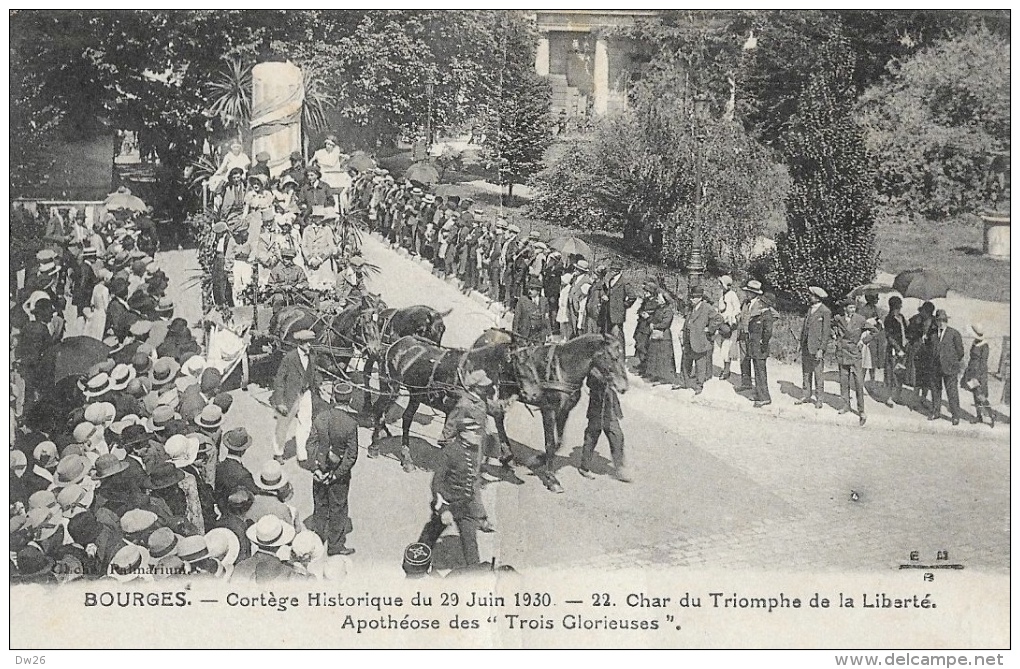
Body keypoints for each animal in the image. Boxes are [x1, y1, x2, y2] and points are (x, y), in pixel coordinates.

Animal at [373, 332, 518, 471]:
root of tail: (396, 343)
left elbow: (496, 415)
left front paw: (506, 455)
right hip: (391, 387)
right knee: (379, 408)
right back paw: (374, 446)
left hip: (415, 395)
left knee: (405, 417)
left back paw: (404, 455)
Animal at [477, 328, 628, 491]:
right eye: (613, 357)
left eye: (622, 356)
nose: (624, 386)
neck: (563, 368)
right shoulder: (548, 410)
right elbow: (550, 443)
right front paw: (551, 478)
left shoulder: (564, 411)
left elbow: (558, 442)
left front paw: (538, 460)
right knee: (495, 414)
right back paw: (503, 453)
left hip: (505, 390)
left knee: (498, 415)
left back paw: (506, 455)